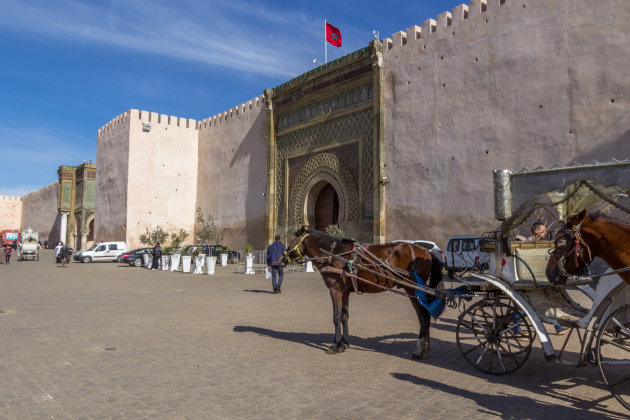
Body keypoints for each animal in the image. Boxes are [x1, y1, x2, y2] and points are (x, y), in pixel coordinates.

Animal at [282, 226, 444, 358]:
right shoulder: (345, 291)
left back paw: (419, 349)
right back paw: (425, 348)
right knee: (425, 316)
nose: (282, 260)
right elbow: (344, 316)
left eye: (291, 242)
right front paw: (344, 344)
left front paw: (335, 345)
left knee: (423, 316)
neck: (333, 254)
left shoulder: (335, 290)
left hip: (413, 288)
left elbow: (336, 317)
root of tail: (426, 251)